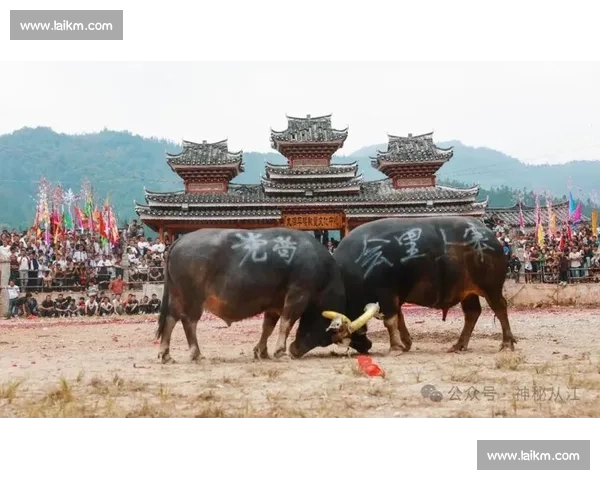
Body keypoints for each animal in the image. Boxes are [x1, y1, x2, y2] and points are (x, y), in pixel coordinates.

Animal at [154, 227, 379, 363]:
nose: (368, 344)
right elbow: (286, 323)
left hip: (177, 296)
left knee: (170, 319)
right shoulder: (297, 295)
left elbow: (268, 327)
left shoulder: (274, 304)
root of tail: (180, 241)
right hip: (192, 298)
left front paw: (261, 351)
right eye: (330, 338)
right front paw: (280, 351)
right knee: (188, 322)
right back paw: (196, 354)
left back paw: (165, 354)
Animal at [296, 216, 517, 356]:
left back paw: (507, 343)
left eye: (334, 335)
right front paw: (406, 343)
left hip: (491, 287)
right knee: (472, 313)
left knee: (500, 308)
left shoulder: (386, 294)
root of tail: (489, 236)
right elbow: (399, 318)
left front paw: (395, 348)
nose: (366, 345)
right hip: (468, 292)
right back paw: (458, 345)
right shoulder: (395, 297)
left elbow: (390, 321)